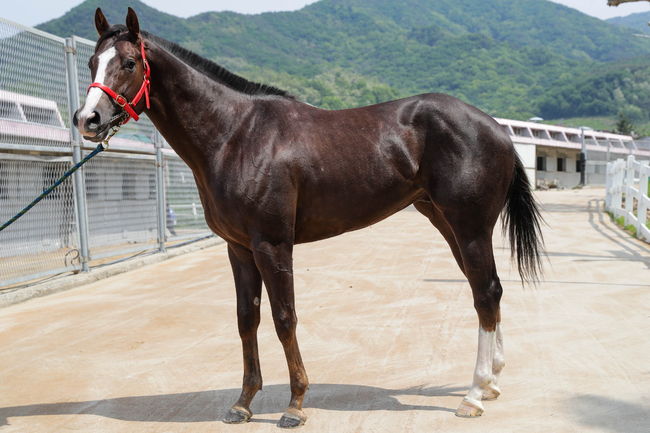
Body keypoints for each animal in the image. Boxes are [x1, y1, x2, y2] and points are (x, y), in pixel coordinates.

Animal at [72, 8, 540, 426]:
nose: (88, 120)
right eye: (92, 63)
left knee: (485, 294)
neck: (237, 135)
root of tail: (497, 129)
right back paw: (491, 383)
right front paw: (243, 403)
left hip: (470, 227)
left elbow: (284, 318)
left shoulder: (272, 245)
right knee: (488, 291)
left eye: (129, 63)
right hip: (447, 224)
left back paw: (474, 394)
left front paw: (295, 404)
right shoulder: (239, 249)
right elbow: (246, 319)